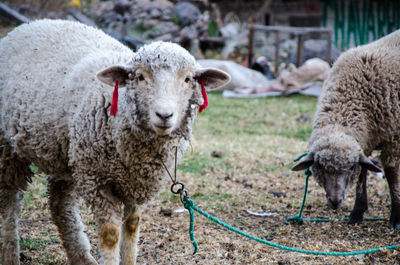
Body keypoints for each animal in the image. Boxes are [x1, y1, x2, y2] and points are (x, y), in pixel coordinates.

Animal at [0, 19, 230, 264]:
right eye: (140, 77)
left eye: (187, 79)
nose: (164, 115)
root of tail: (29, 24)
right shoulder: (97, 181)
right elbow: (110, 235)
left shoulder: (137, 183)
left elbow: (131, 226)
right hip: (8, 150)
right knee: (9, 204)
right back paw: (11, 254)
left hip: (67, 155)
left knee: (59, 203)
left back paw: (81, 257)